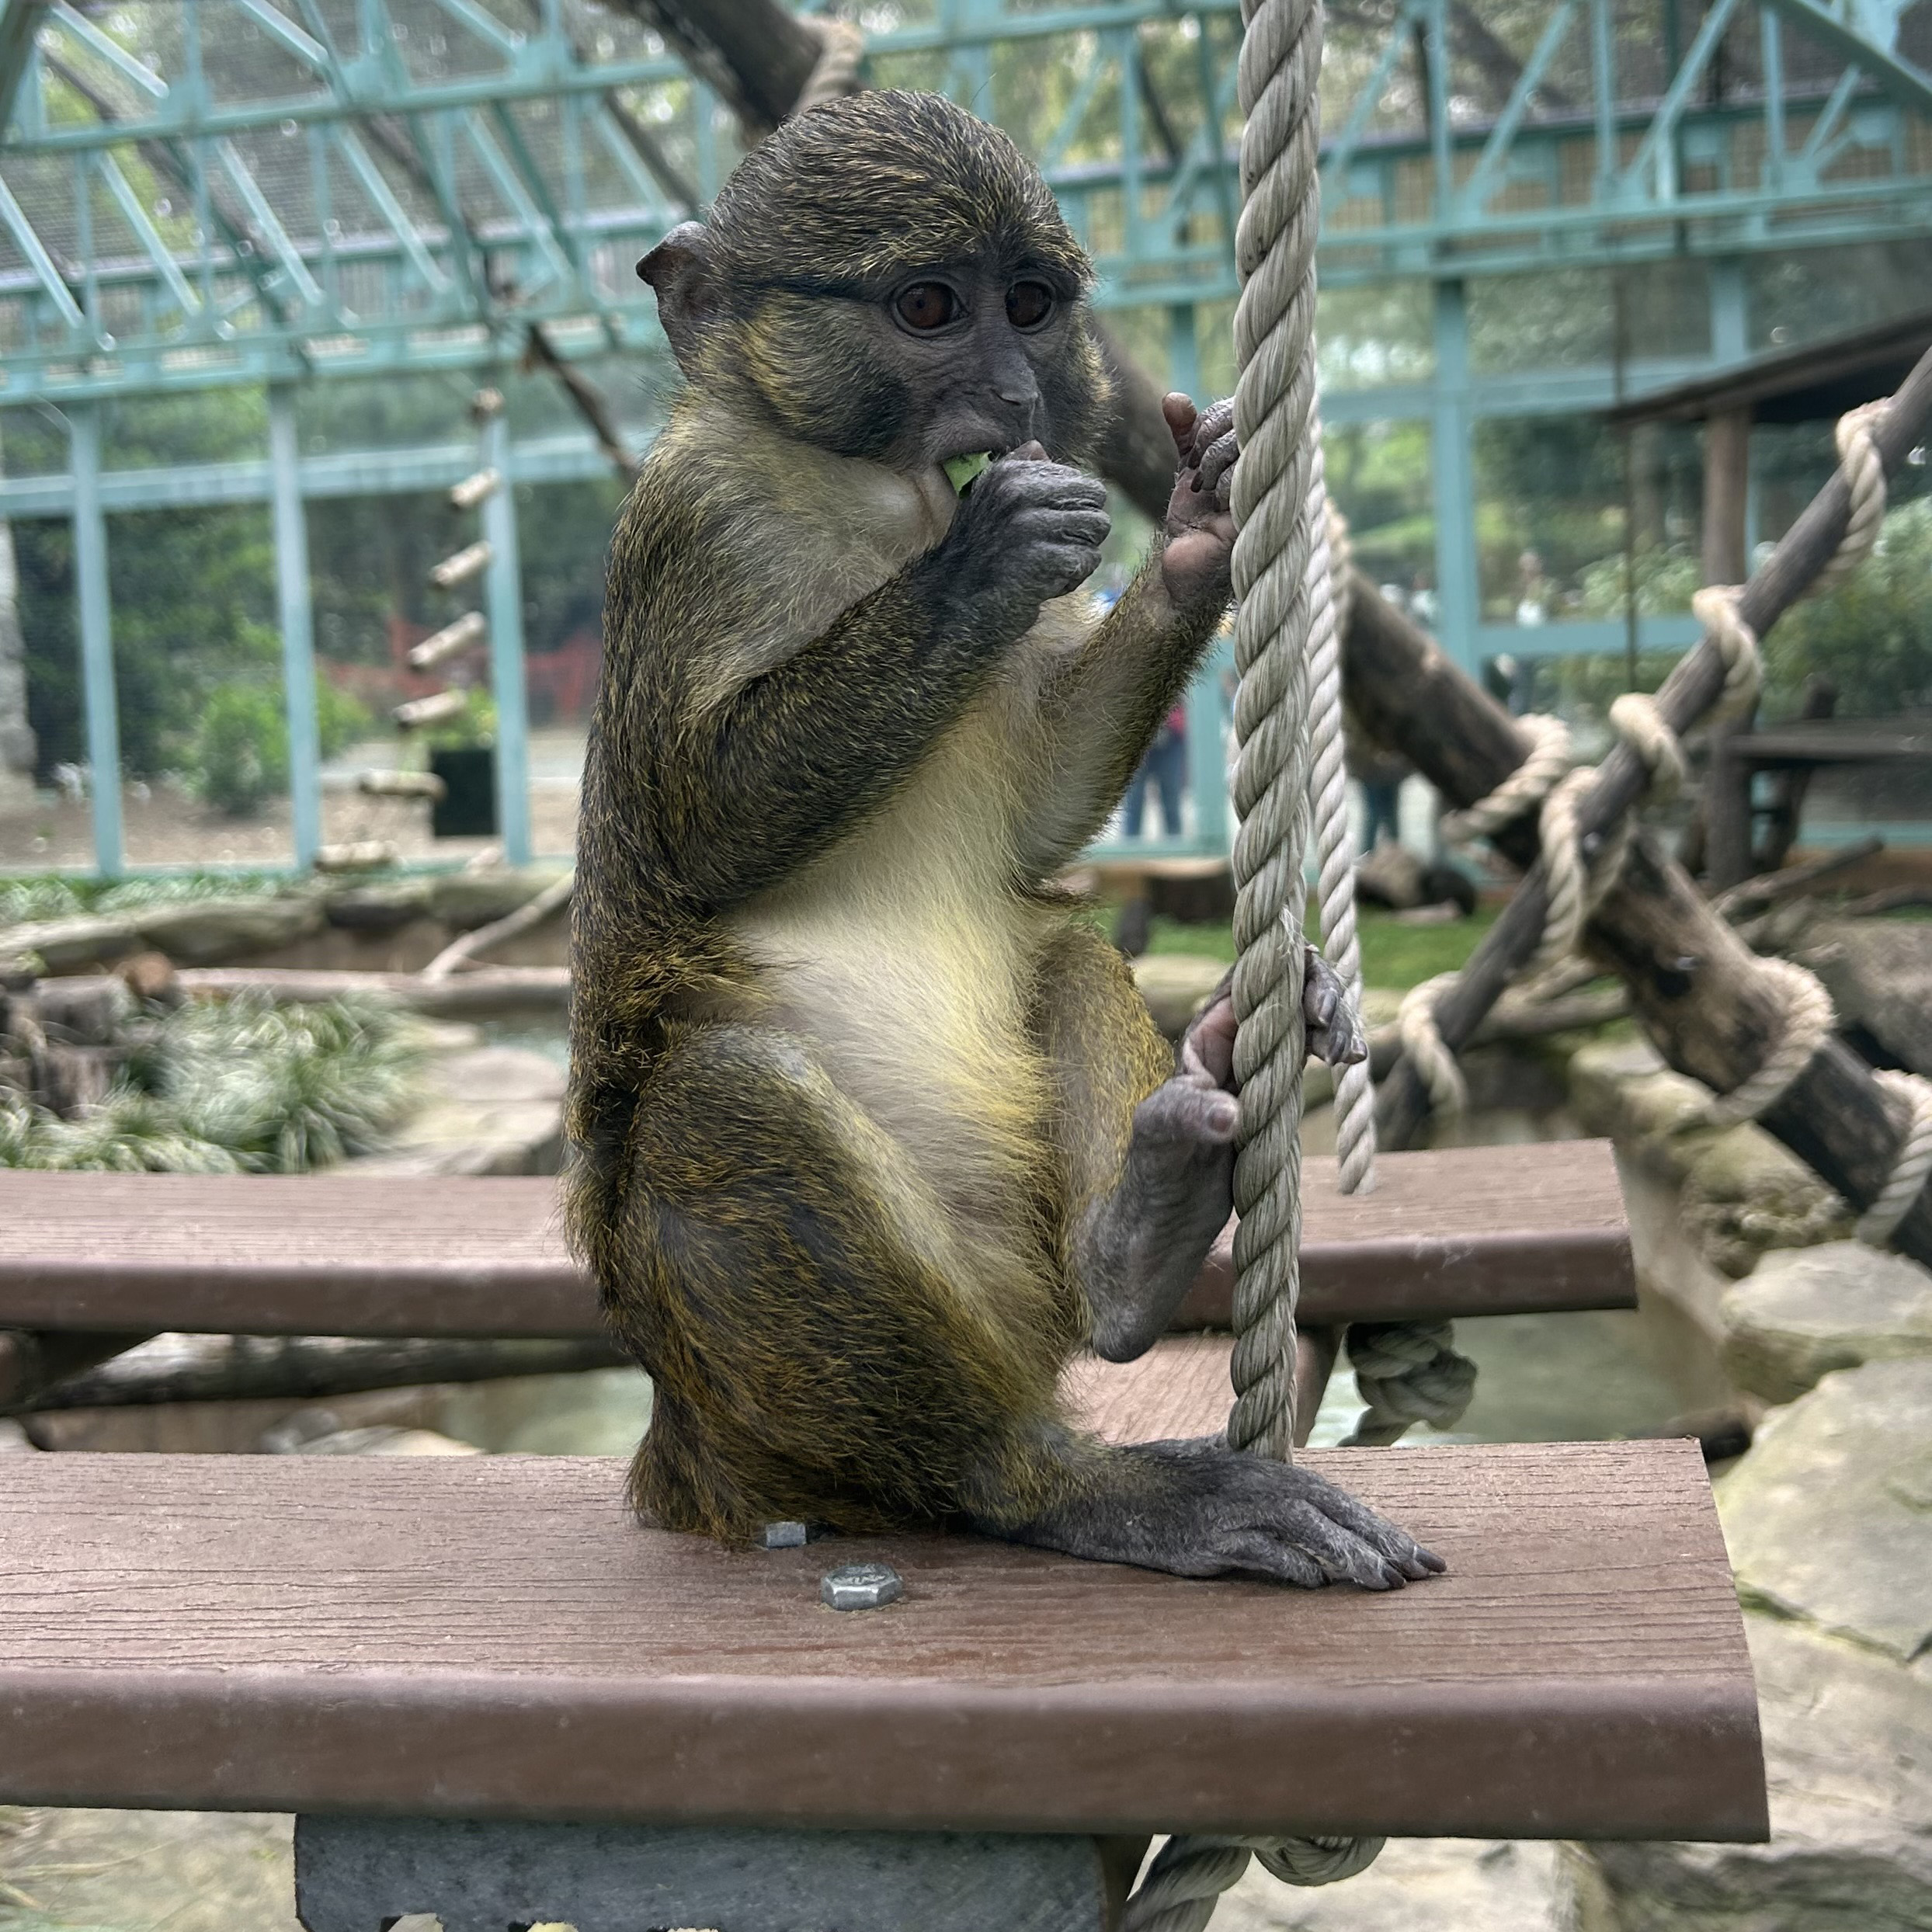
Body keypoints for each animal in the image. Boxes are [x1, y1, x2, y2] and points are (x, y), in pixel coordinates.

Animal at [560, 90, 1437, 1592]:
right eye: (929, 307)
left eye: (1026, 305)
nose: (1018, 400)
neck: (868, 497)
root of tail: (686, 1455)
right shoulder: (693, 526)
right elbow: (693, 829)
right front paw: (986, 556)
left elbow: (1039, 807)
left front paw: (1196, 529)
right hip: (760, 1389)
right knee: (731, 1097)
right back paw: (1059, 1483)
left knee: (1069, 953)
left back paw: (1138, 1236)